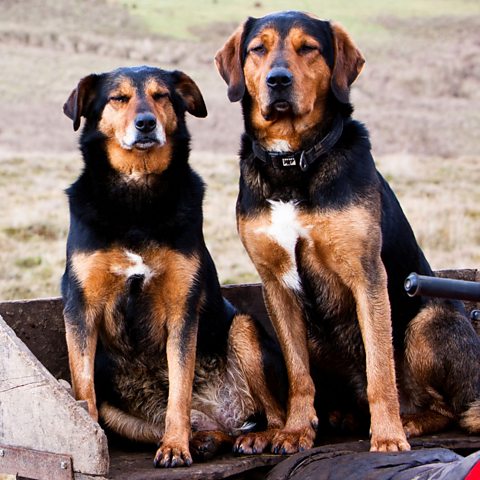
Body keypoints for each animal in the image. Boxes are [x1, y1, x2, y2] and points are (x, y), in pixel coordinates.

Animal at [60, 65, 286, 466]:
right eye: (118, 98)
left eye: (161, 96)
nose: (146, 124)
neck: (138, 195)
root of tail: (222, 416)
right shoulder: (80, 307)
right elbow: (83, 387)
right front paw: (87, 439)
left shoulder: (182, 309)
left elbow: (179, 390)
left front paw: (175, 447)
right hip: (120, 411)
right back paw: (205, 440)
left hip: (243, 329)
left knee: (276, 414)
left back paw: (255, 437)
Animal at [217, 10, 480, 454]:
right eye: (258, 49)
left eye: (309, 48)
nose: (278, 80)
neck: (294, 162)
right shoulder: (276, 285)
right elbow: (299, 376)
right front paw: (295, 430)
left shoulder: (367, 276)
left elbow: (380, 370)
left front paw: (388, 436)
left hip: (428, 322)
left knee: (446, 408)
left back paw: (408, 421)